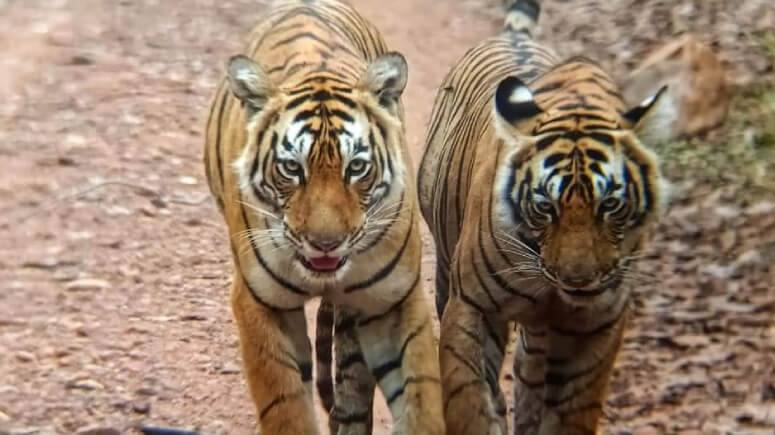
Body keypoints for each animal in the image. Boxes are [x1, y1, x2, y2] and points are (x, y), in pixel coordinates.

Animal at [203, 1, 446, 434]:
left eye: (357, 167)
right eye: (291, 168)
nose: (326, 244)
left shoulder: (394, 300)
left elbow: (420, 393)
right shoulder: (260, 302)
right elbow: (286, 405)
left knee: (351, 378)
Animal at [416, 1, 676, 434]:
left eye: (610, 204)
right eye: (544, 206)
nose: (579, 280)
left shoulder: (600, 326)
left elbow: (572, 410)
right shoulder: (471, 304)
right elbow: (469, 397)